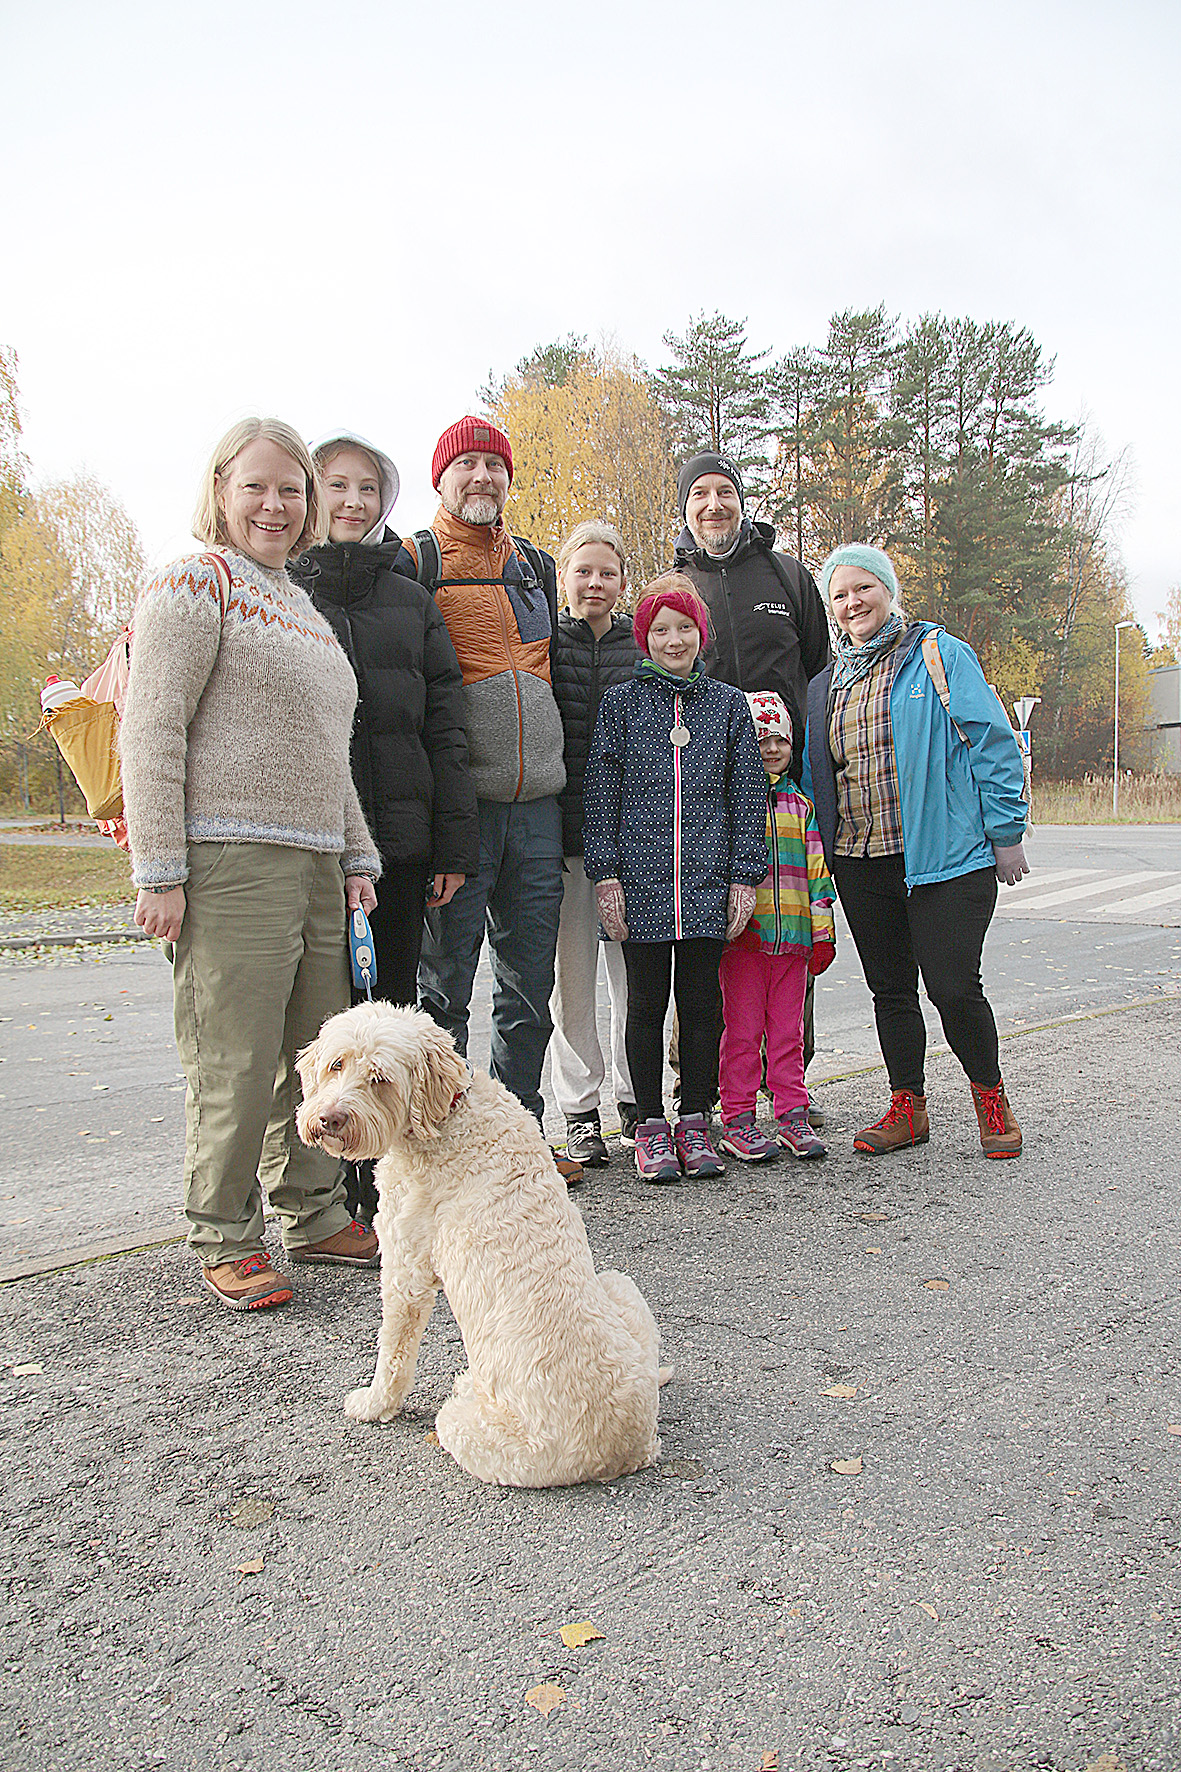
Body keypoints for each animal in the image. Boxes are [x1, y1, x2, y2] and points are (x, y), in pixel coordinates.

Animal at [294, 1006, 663, 1488]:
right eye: (336, 1065)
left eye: (379, 1079)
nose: (329, 1119)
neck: (450, 1112)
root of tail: (627, 1449)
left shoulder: (404, 1271)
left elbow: (393, 1352)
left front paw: (375, 1404)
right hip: (619, 1285)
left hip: (465, 1428)